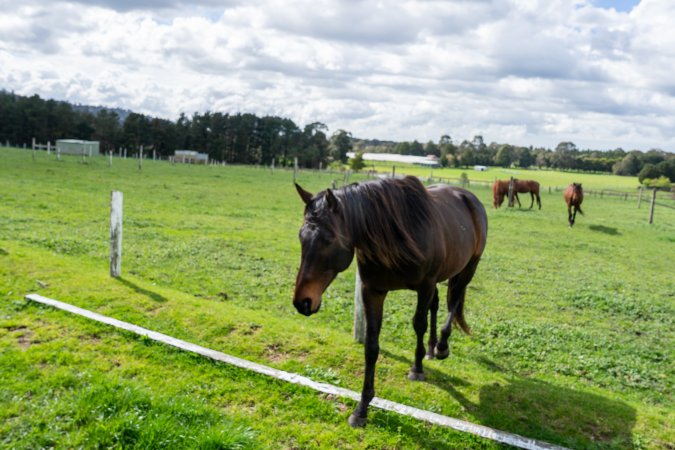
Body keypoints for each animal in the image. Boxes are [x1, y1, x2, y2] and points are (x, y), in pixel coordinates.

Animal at [293, 176, 488, 427]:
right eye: (301, 237)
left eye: (328, 239)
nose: (303, 302)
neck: (397, 236)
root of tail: (469, 197)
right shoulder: (373, 291)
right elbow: (371, 346)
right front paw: (362, 408)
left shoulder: (424, 286)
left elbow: (419, 324)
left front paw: (417, 369)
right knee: (436, 306)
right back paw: (432, 348)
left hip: (468, 268)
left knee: (453, 303)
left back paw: (442, 346)